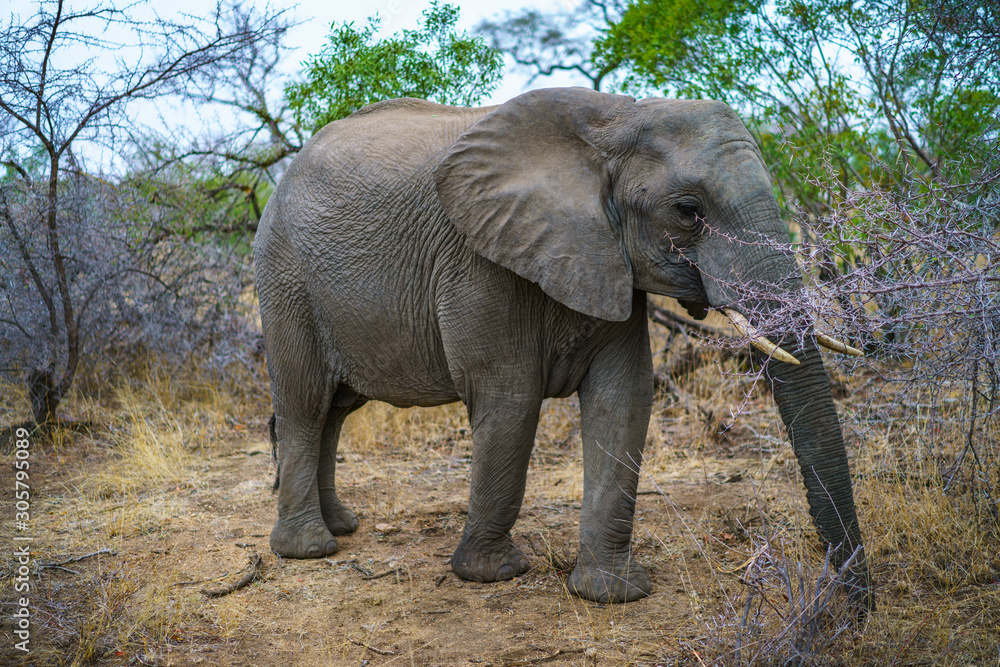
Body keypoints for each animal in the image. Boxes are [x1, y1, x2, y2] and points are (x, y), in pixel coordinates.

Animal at [253, 87, 871, 607]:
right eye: (688, 211)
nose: (856, 603)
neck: (615, 119)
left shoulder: (610, 260)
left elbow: (624, 399)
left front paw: (611, 593)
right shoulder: (479, 260)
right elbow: (509, 400)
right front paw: (493, 574)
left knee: (336, 409)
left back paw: (343, 526)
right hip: (286, 277)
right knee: (306, 403)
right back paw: (310, 549)